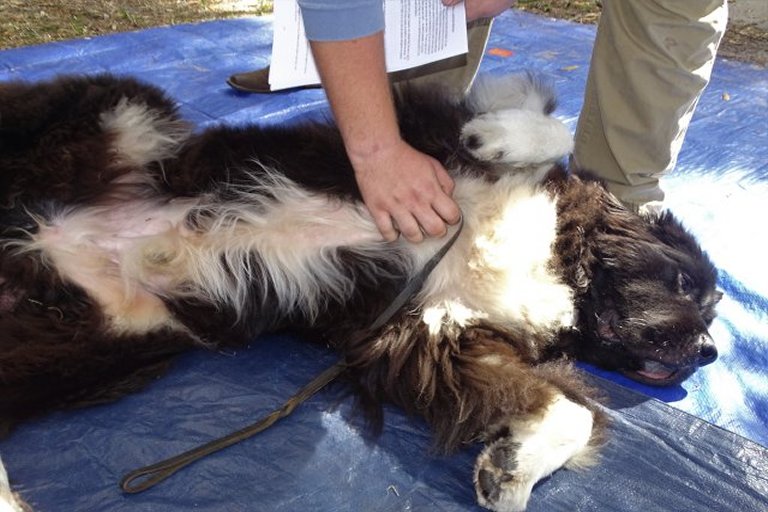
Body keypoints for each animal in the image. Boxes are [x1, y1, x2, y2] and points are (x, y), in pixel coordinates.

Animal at [0, 72, 721, 511]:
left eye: (712, 311)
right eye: (689, 285)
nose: (711, 354)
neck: (556, 263)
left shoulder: (435, 331)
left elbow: (570, 413)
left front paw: (511, 471)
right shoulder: (415, 145)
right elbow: (552, 130)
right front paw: (501, 135)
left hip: (89, 338)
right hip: (123, 109)